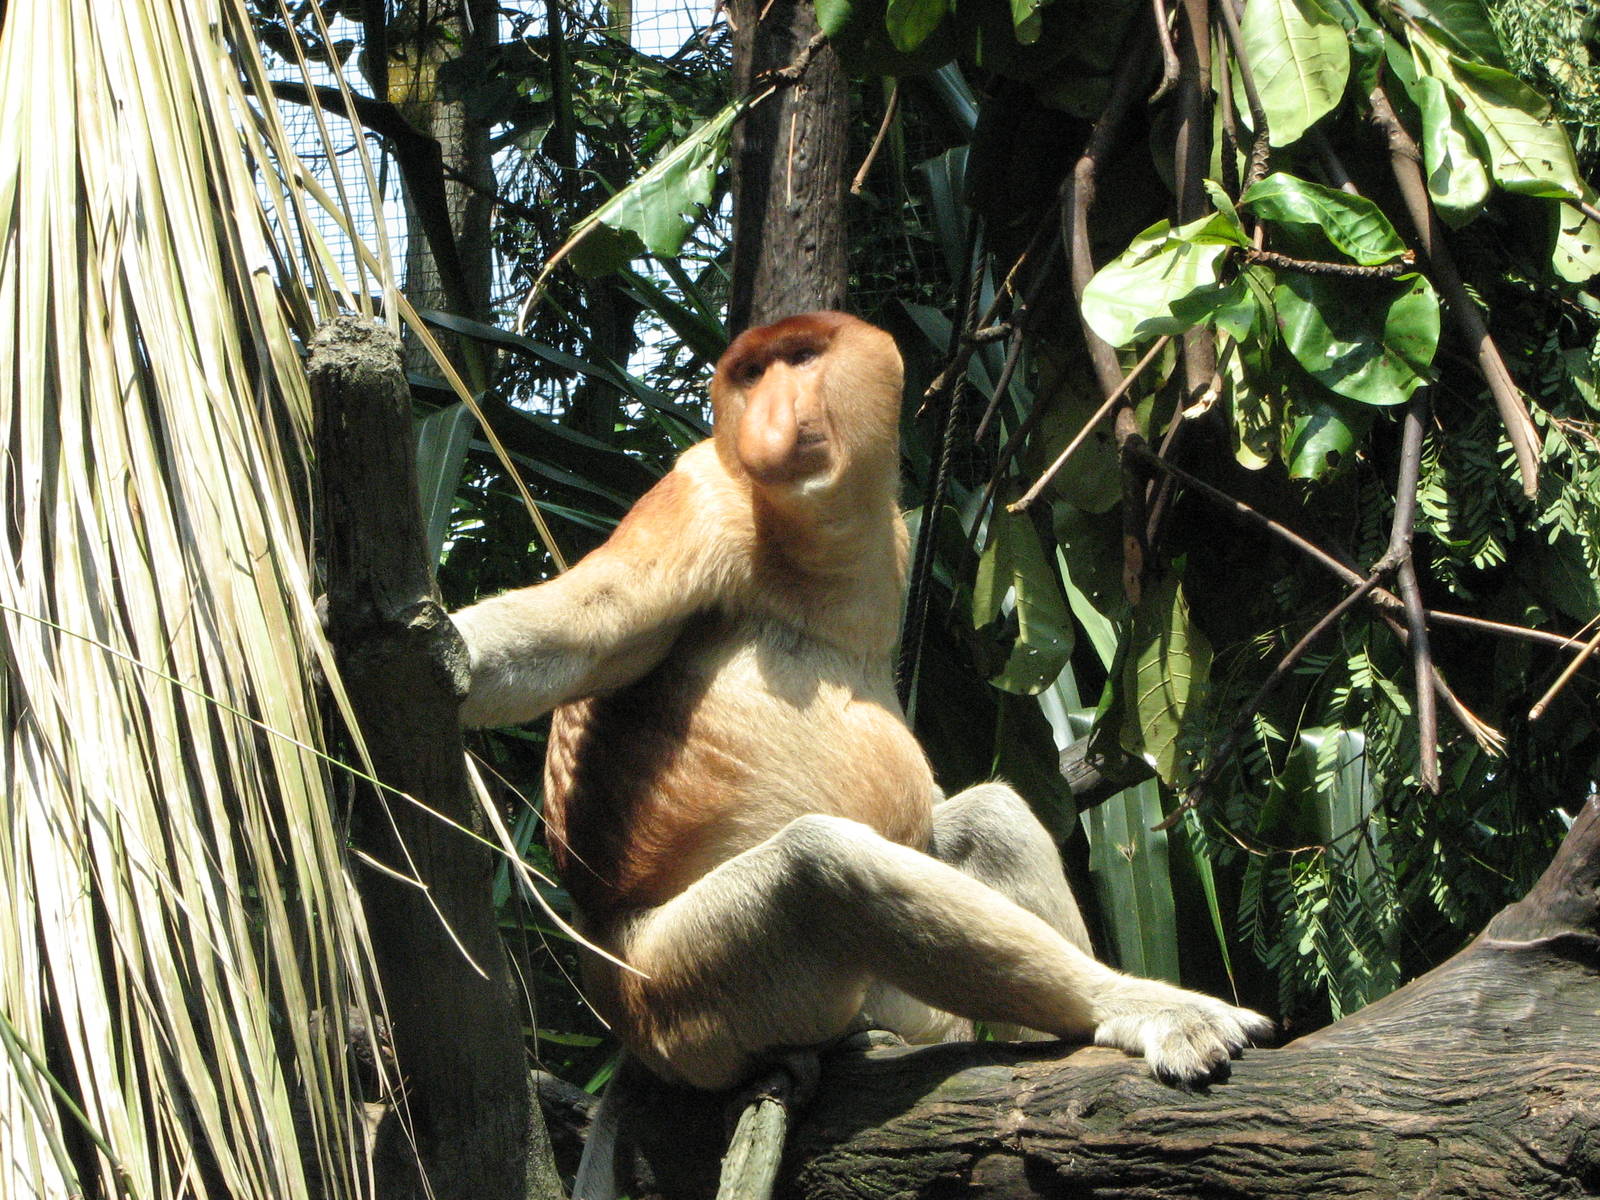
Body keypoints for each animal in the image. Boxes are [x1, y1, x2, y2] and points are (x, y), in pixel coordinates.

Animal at [450, 311, 1271, 1095]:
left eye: (801, 358)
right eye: (751, 373)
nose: (771, 417)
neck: (820, 549)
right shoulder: (700, 499)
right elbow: (582, 626)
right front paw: (445, 657)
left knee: (986, 818)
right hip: (681, 999)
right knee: (820, 871)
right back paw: (1140, 1009)